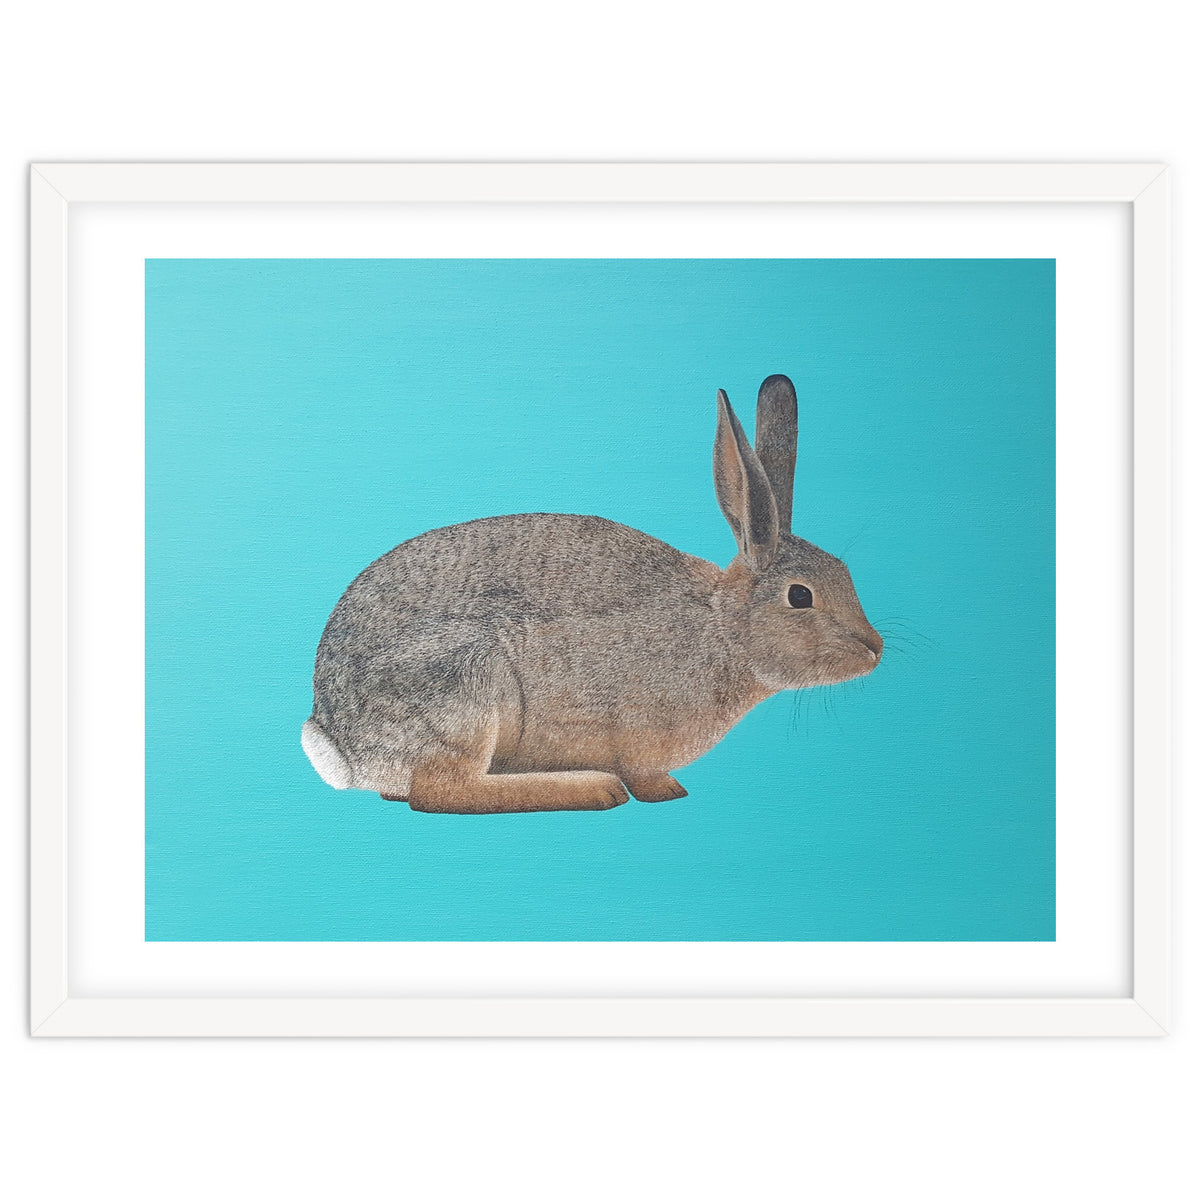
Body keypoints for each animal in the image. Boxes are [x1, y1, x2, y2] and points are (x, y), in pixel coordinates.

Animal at [301, 375, 882, 813]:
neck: (724, 628)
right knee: (440, 791)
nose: (874, 649)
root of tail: (341, 743)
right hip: (465, 683)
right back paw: (592, 788)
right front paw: (664, 791)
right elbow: (644, 775)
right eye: (801, 597)